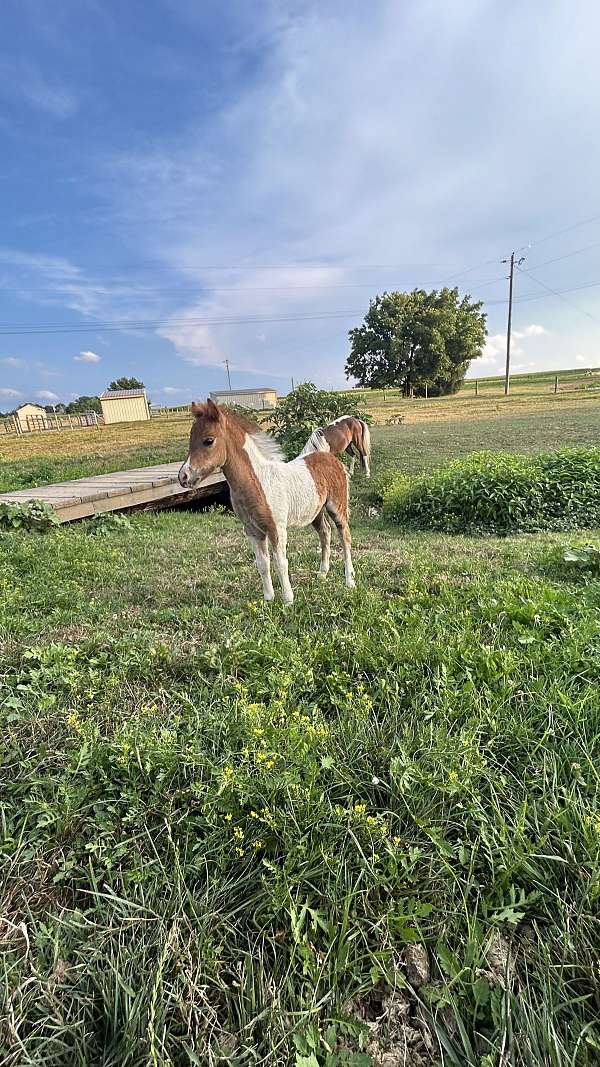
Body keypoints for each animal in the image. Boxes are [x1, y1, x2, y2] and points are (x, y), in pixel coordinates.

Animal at [178, 399, 354, 606]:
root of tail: (328, 455)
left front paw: (288, 600)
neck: (258, 481)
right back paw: (322, 574)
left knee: (344, 536)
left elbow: (281, 562)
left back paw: (349, 581)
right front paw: (268, 598)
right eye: (190, 439)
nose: (183, 477)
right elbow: (262, 563)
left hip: (337, 507)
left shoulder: (276, 528)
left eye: (208, 441)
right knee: (325, 532)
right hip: (314, 512)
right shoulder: (252, 530)